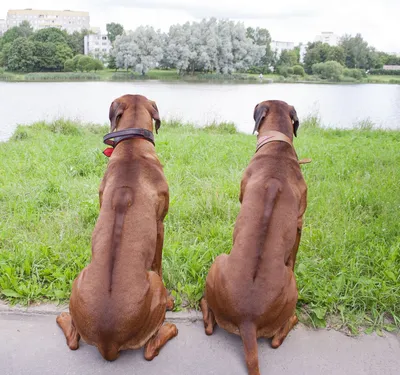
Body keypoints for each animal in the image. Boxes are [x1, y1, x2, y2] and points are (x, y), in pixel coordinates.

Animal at [56, 94, 177, 362]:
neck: (132, 145)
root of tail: (108, 340)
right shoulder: (160, 225)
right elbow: (158, 260)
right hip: (154, 285)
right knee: (150, 350)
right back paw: (170, 324)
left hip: (79, 279)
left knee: (73, 340)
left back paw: (63, 317)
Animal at [202, 100, 308, 375]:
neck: (278, 148)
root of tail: (247, 320)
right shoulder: (300, 221)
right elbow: (293, 255)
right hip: (287, 283)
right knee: (277, 337)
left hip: (219, 262)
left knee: (210, 324)